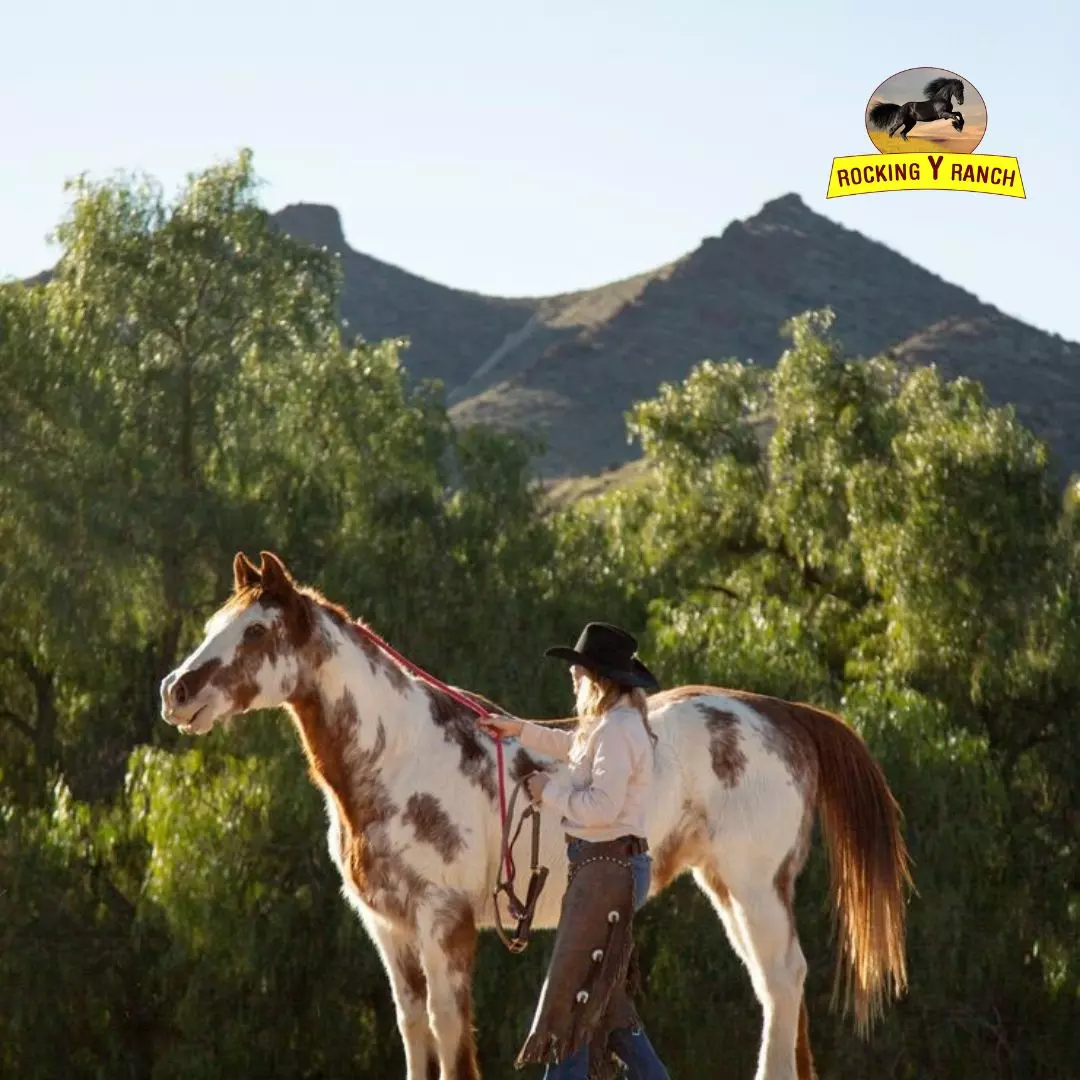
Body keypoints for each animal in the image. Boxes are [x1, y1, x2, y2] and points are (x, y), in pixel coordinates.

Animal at [159, 551, 912, 1080]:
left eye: (257, 631)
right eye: (214, 627)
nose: (176, 691)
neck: (401, 756)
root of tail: (780, 714)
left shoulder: (444, 925)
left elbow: (451, 1036)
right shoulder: (390, 930)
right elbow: (414, 1031)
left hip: (756, 885)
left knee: (783, 981)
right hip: (727, 887)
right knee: (775, 984)